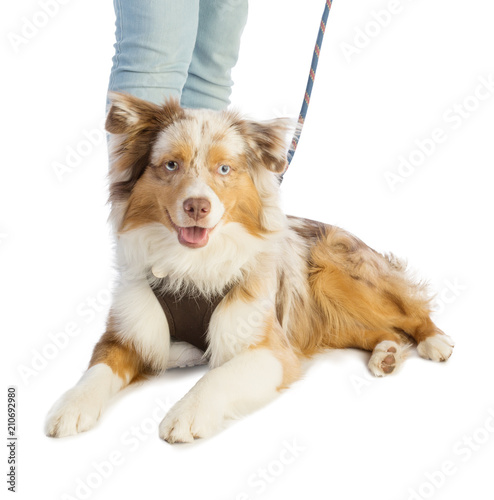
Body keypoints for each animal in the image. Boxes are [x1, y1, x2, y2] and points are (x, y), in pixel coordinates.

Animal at [44, 93, 454, 442]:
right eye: (171, 165)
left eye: (224, 169)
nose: (197, 206)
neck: (191, 266)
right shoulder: (127, 334)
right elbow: (98, 369)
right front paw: (72, 405)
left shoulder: (270, 349)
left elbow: (217, 377)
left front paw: (186, 414)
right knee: (377, 331)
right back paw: (386, 353)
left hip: (334, 275)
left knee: (409, 312)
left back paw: (434, 341)